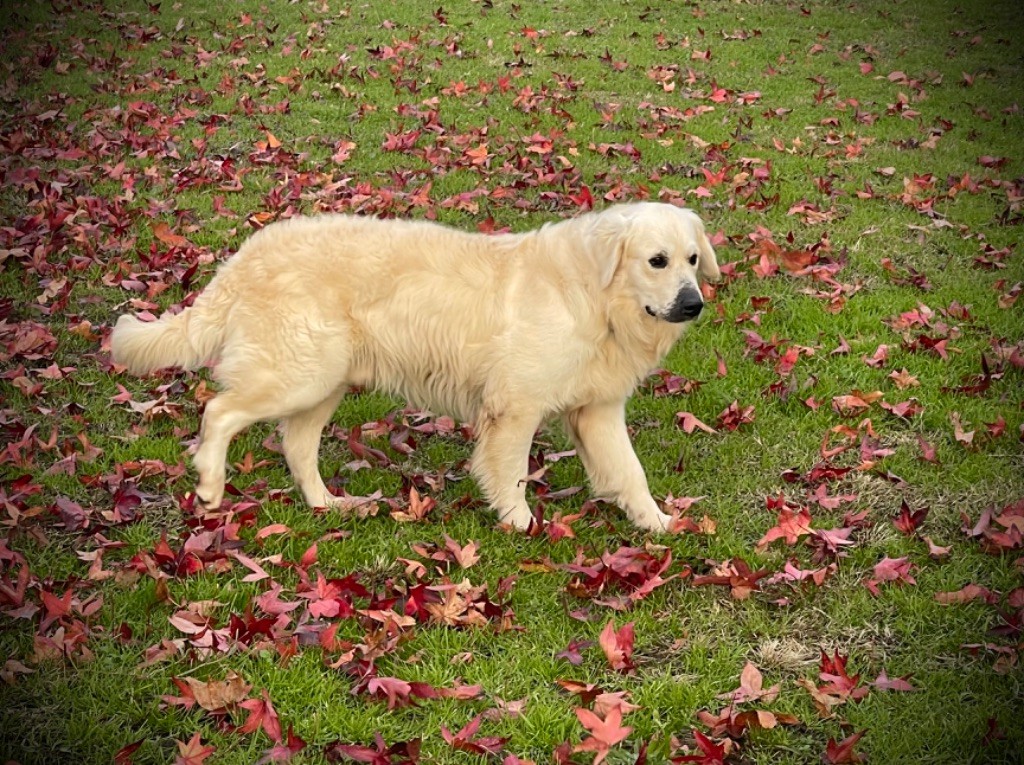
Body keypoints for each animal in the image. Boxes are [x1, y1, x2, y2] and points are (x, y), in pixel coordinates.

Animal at [110, 200, 720, 528]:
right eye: (657, 261)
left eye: (693, 259)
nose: (695, 304)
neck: (595, 295)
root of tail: (244, 255)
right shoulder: (515, 407)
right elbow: (512, 472)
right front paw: (520, 523)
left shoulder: (598, 411)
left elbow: (631, 473)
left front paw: (657, 522)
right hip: (297, 375)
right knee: (219, 412)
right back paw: (210, 486)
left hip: (323, 384)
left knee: (296, 447)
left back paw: (329, 504)